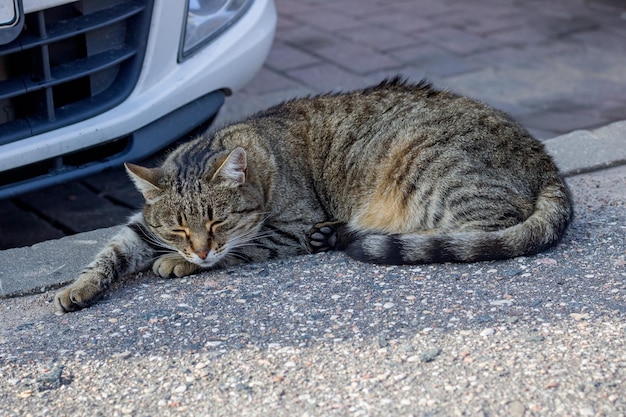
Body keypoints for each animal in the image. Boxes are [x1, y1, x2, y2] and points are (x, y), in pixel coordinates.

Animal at [53, 77, 572, 312]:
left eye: (218, 221)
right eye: (179, 227)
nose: (198, 251)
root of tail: (545, 158)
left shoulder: (289, 226)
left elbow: (241, 248)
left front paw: (179, 264)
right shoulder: (142, 226)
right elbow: (112, 251)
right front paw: (79, 287)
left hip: (431, 170)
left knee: (470, 235)